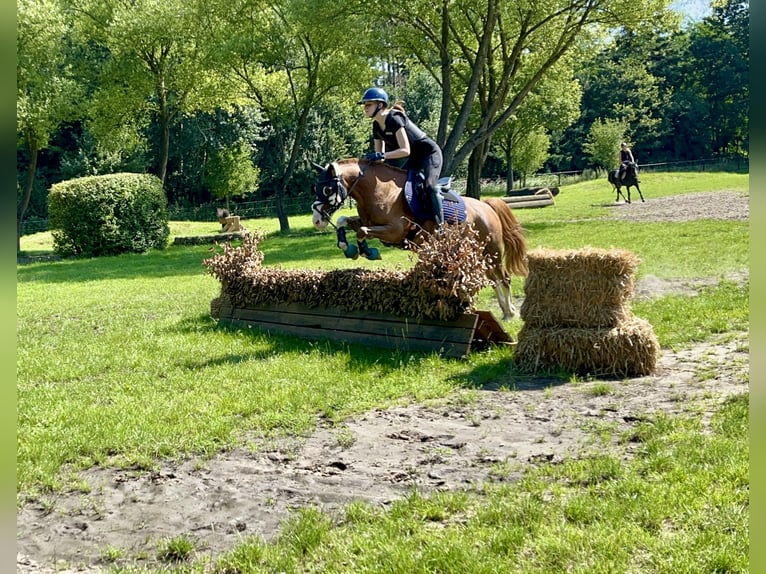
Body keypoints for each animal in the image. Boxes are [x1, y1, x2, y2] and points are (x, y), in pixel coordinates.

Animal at [312, 159, 528, 320]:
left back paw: (509, 313)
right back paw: (506, 310)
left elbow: (362, 231)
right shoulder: (367, 222)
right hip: (479, 253)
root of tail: (487, 206)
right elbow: (344, 221)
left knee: (504, 277)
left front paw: (367, 251)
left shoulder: (395, 231)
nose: (316, 221)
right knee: (493, 279)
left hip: (493, 251)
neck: (378, 191)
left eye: (327, 190)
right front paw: (350, 247)